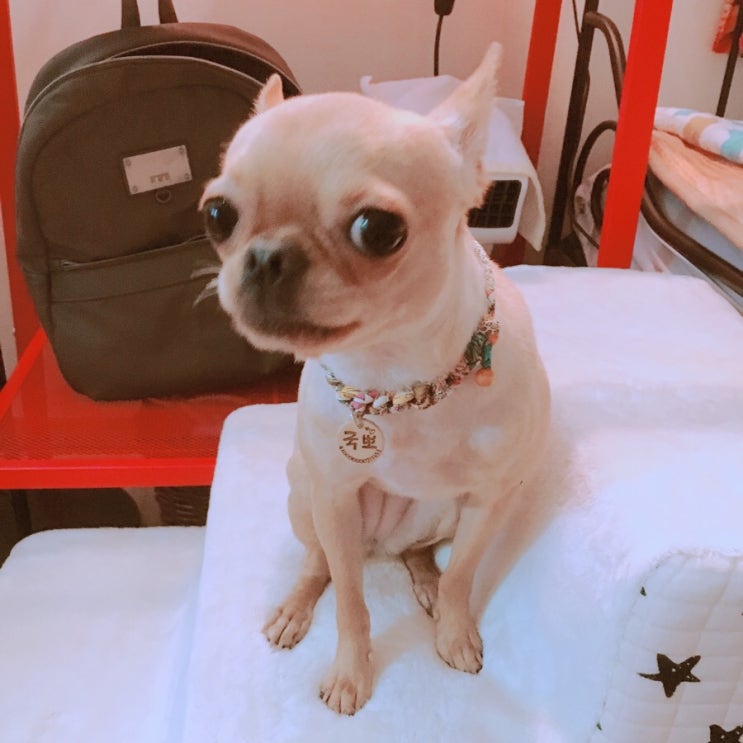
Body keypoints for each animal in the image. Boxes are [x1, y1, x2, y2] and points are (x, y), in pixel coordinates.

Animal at [201, 42, 550, 716]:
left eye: (378, 229)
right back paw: (296, 607)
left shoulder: (490, 500)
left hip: (441, 513)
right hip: (305, 496)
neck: (397, 378)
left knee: (420, 555)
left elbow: (465, 573)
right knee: (321, 565)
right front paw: (350, 673)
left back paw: (428, 586)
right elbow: (350, 602)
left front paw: (454, 628)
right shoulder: (334, 498)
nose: (264, 256)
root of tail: (380, 547)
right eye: (216, 215)